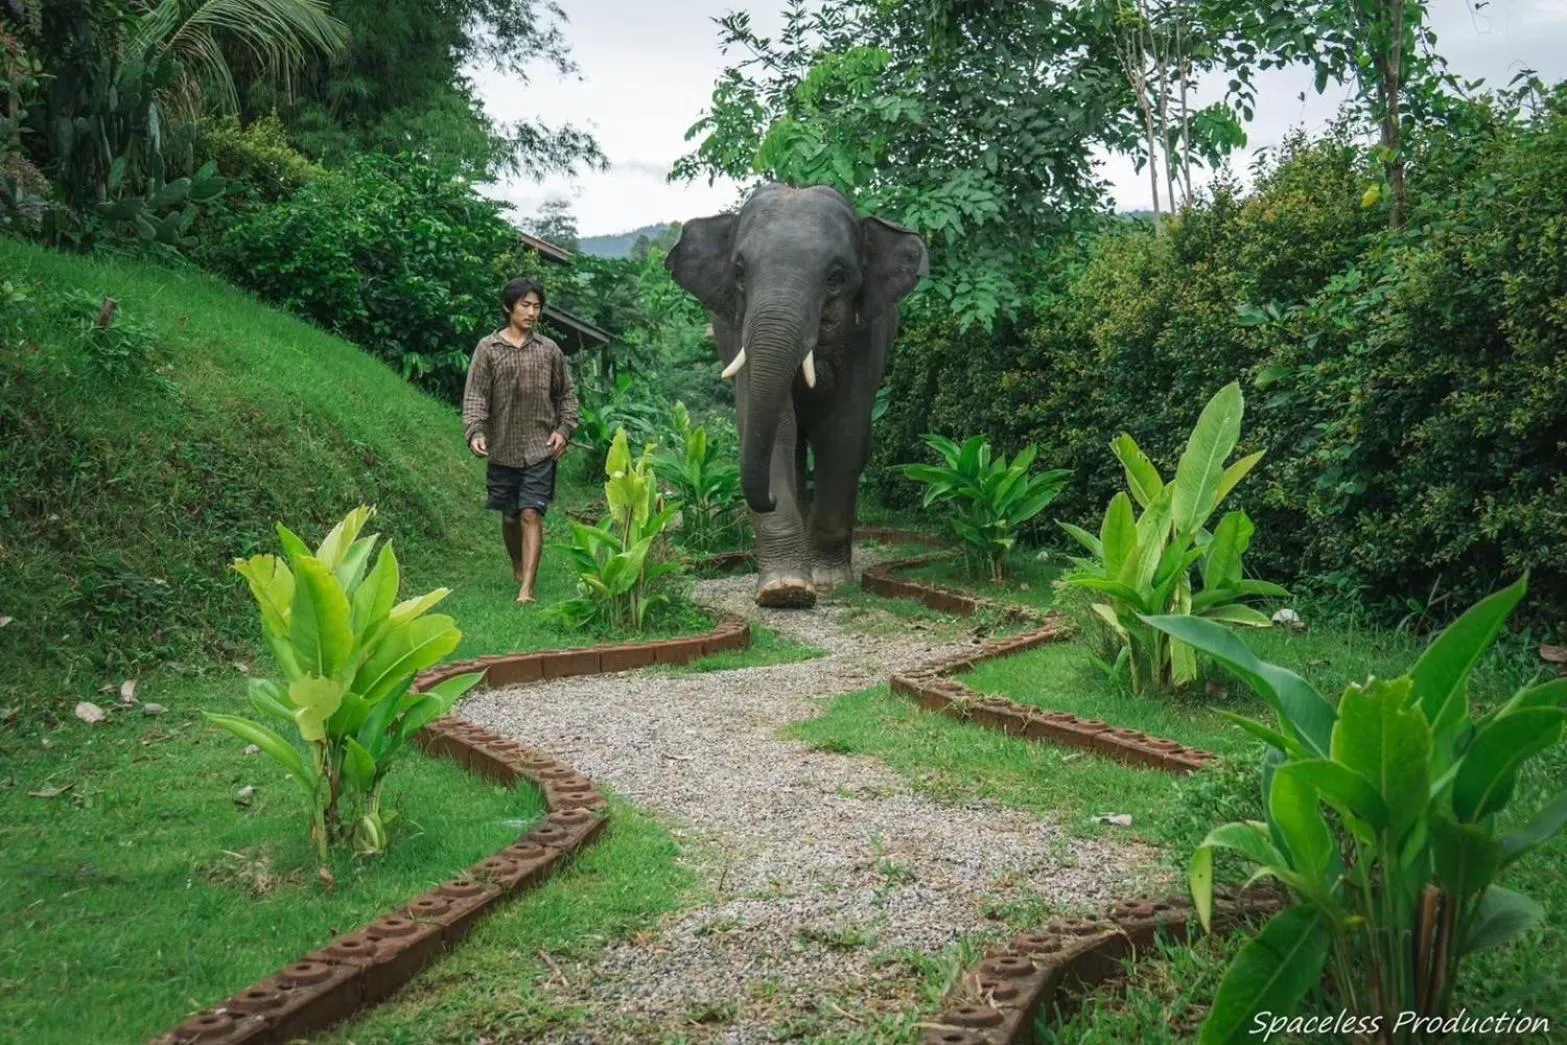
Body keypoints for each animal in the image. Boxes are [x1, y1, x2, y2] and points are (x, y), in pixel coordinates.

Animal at [665, 182, 929, 608]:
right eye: (739, 273)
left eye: (836, 277)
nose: (769, 498)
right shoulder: (736, 331)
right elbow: (777, 432)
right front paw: (784, 591)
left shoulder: (866, 337)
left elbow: (843, 434)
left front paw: (828, 580)